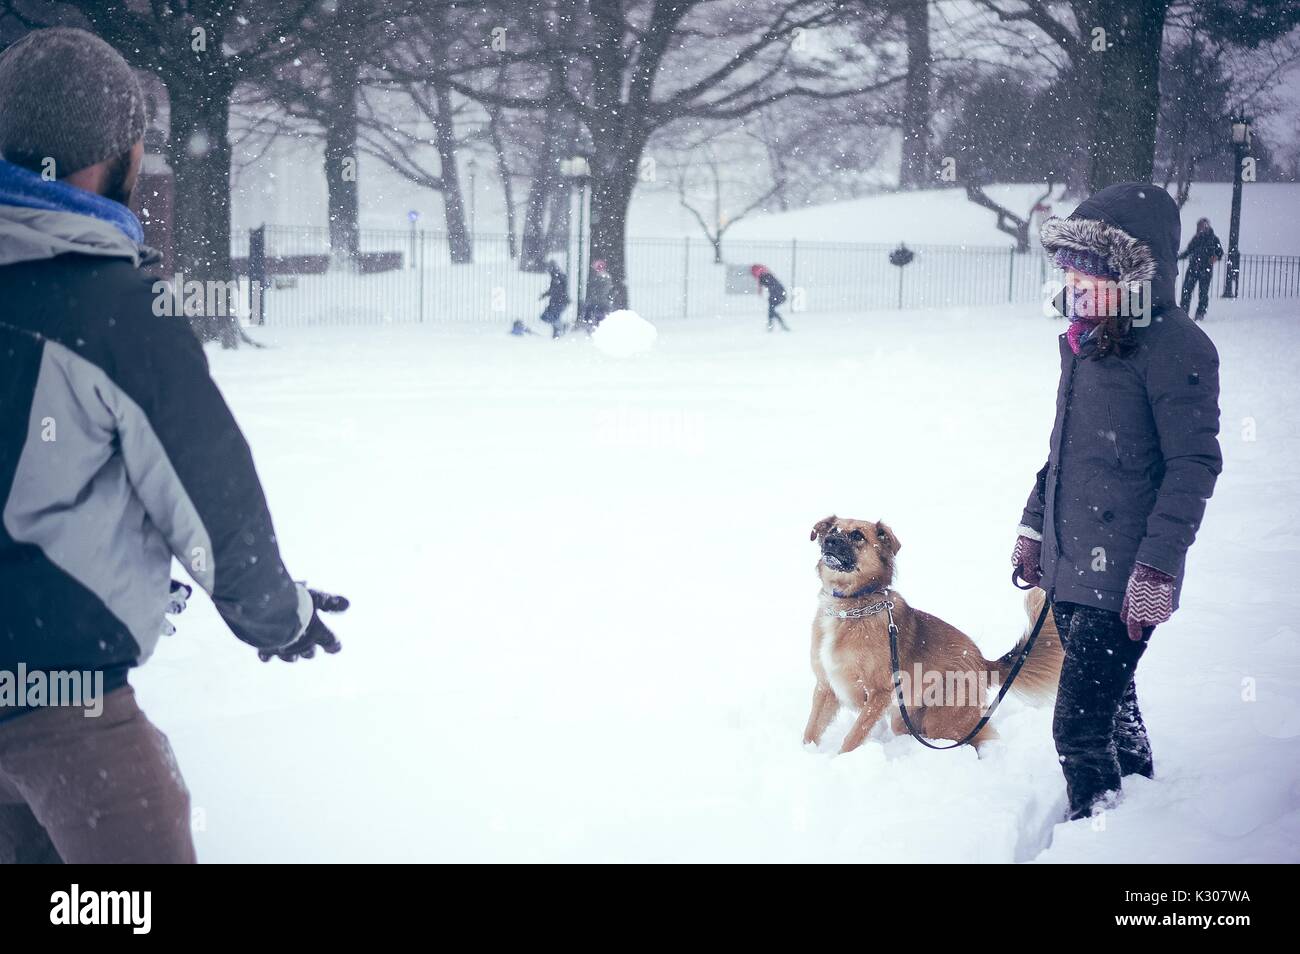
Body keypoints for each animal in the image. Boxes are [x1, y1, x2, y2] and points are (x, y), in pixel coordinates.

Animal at [800, 519, 1066, 759]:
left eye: (857, 535)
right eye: (833, 529)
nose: (829, 541)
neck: (850, 607)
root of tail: (983, 662)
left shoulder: (879, 692)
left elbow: (854, 736)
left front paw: (840, 759)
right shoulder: (825, 686)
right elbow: (812, 729)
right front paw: (806, 755)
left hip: (943, 720)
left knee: (977, 737)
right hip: (907, 716)